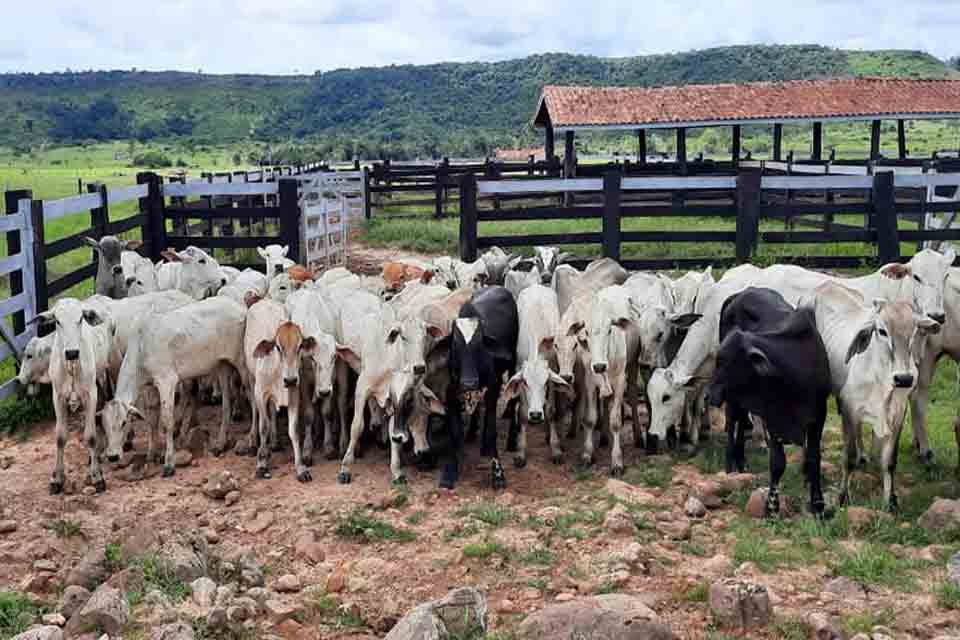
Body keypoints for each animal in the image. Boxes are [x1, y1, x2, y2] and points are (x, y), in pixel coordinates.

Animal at [440, 284, 516, 490]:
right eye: (455, 346)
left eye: (480, 345)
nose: (469, 382)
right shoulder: (450, 392)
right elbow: (454, 432)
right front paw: (450, 471)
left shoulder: (493, 387)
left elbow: (491, 431)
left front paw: (498, 474)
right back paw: (473, 434)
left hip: (512, 363)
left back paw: (509, 441)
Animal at [704, 288, 832, 516]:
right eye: (717, 360)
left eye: (725, 362)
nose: (709, 395)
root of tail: (741, 293)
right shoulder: (772, 419)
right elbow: (777, 463)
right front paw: (772, 507)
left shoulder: (818, 415)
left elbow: (813, 458)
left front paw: (818, 505)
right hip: (734, 399)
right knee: (733, 422)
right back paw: (730, 467)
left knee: (741, 423)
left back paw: (741, 463)